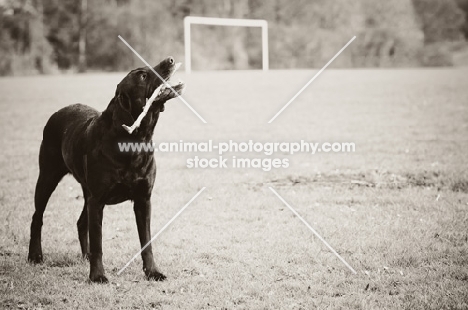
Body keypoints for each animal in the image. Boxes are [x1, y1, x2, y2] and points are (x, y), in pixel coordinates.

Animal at [27, 56, 185, 284]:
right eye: (142, 75)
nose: (170, 60)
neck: (134, 140)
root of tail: (59, 111)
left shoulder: (143, 199)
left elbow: (146, 242)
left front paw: (152, 271)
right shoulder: (98, 200)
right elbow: (98, 243)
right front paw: (97, 275)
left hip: (86, 192)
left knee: (80, 222)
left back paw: (84, 256)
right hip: (48, 177)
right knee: (37, 217)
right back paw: (35, 255)